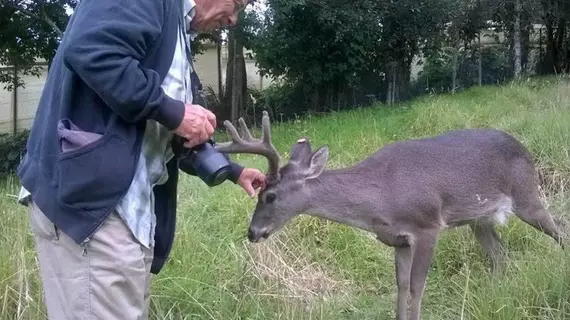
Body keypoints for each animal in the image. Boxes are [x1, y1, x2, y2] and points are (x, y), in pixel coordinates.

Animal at [213, 110, 564, 320]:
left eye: (270, 195)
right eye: (258, 191)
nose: (252, 233)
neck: (381, 199)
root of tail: (525, 148)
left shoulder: (427, 225)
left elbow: (418, 286)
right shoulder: (398, 240)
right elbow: (401, 285)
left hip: (527, 194)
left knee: (560, 230)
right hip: (480, 220)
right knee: (500, 255)